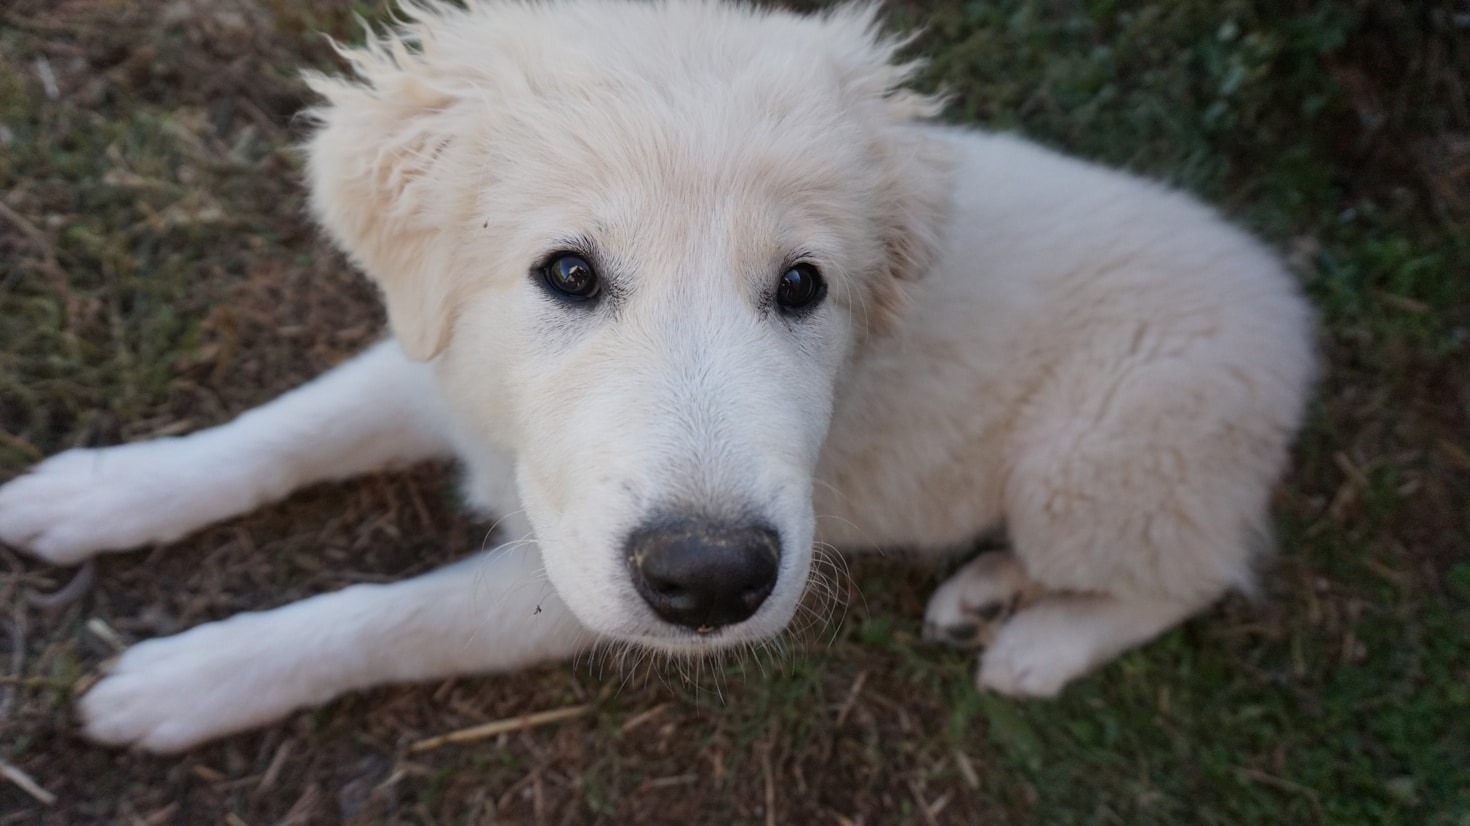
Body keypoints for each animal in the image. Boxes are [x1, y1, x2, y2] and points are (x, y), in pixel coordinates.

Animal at [0, 0, 1311, 752]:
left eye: (803, 285)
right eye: (569, 272)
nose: (714, 580)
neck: (512, 450)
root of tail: (1290, 312)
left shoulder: (562, 580)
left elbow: (388, 616)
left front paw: (196, 675)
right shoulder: (447, 359)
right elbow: (288, 429)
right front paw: (100, 490)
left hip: (1102, 460)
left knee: (1192, 575)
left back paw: (1037, 643)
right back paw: (987, 591)